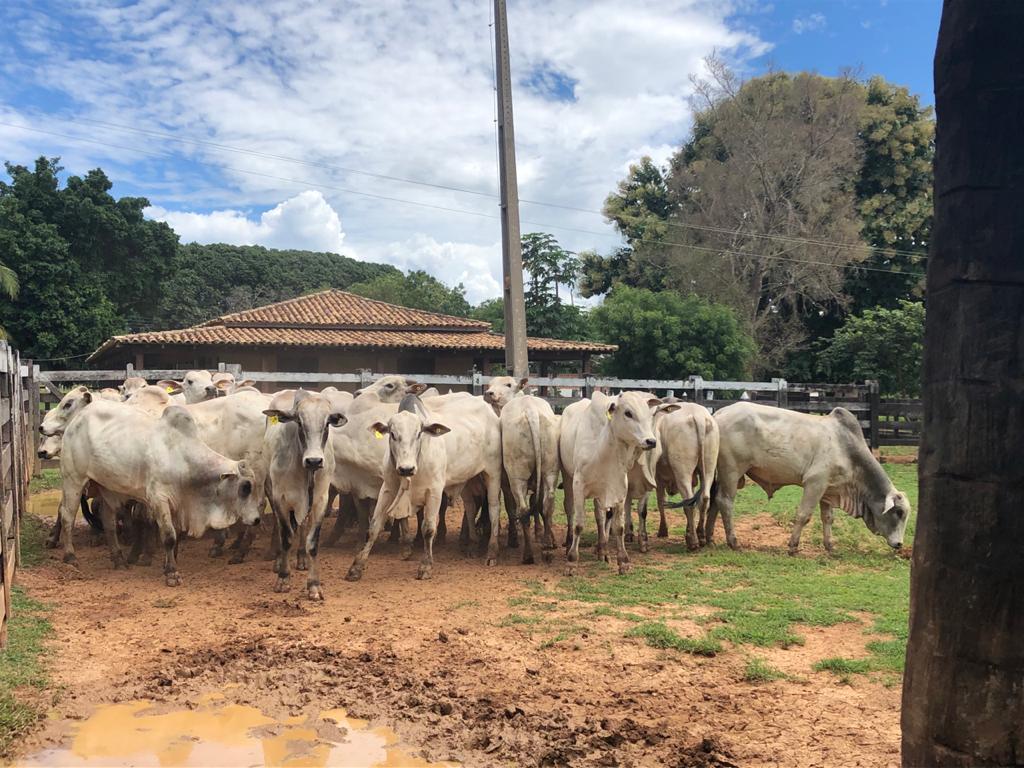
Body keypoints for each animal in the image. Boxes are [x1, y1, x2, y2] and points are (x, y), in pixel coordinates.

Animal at [57, 399, 260, 585]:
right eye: (245, 487)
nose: (257, 519)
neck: (181, 457)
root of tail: (78, 418)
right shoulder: (159, 499)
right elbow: (169, 536)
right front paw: (171, 573)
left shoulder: (178, 504)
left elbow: (176, 536)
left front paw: (168, 564)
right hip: (73, 479)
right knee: (67, 516)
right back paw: (70, 557)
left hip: (107, 487)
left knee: (108, 522)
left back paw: (119, 560)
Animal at [497, 397, 561, 565]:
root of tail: (530, 410)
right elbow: (537, 505)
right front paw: (547, 537)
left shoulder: (506, 485)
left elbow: (511, 508)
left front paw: (513, 537)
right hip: (550, 470)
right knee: (547, 504)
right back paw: (547, 546)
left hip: (516, 477)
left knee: (523, 509)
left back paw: (528, 555)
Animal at [561, 393, 679, 573]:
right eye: (628, 413)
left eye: (650, 414)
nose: (651, 441)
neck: (603, 450)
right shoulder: (579, 486)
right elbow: (579, 524)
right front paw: (571, 561)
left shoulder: (619, 488)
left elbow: (619, 526)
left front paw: (623, 560)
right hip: (568, 478)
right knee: (571, 509)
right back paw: (572, 545)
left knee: (600, 517)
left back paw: (603, 550)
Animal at [712, 403, 913, 552]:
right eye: (898, 512)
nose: (899, 544)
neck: (848, 450)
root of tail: (719, 414)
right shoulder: (815, 483)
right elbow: (804, 515)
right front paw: (793, 546)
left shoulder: (829, 489)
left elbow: (828, 518)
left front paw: (829, 545)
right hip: (732, 471)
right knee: (725, 502)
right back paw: (733, 541)